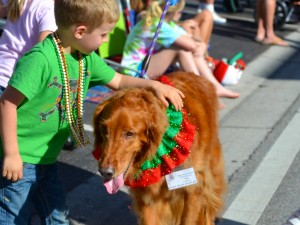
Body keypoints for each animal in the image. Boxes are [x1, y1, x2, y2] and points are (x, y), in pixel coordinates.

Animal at [92, 72, 226, 225]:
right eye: (104, 130)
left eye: (129, 134)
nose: (105, 172)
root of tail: (192, 74)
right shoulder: (147, 198)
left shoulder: (194, 189)